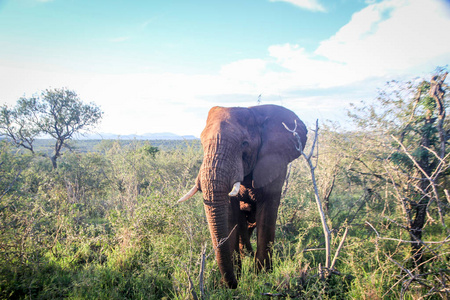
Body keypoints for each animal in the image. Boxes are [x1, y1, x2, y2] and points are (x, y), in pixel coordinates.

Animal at [178, 103, 308, 288]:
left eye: (244, 143)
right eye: (202, 143)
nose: (233, 285)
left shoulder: (275, 163)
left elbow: (267, 213)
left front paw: (262, 277)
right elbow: (231, 215)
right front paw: (234, 278)